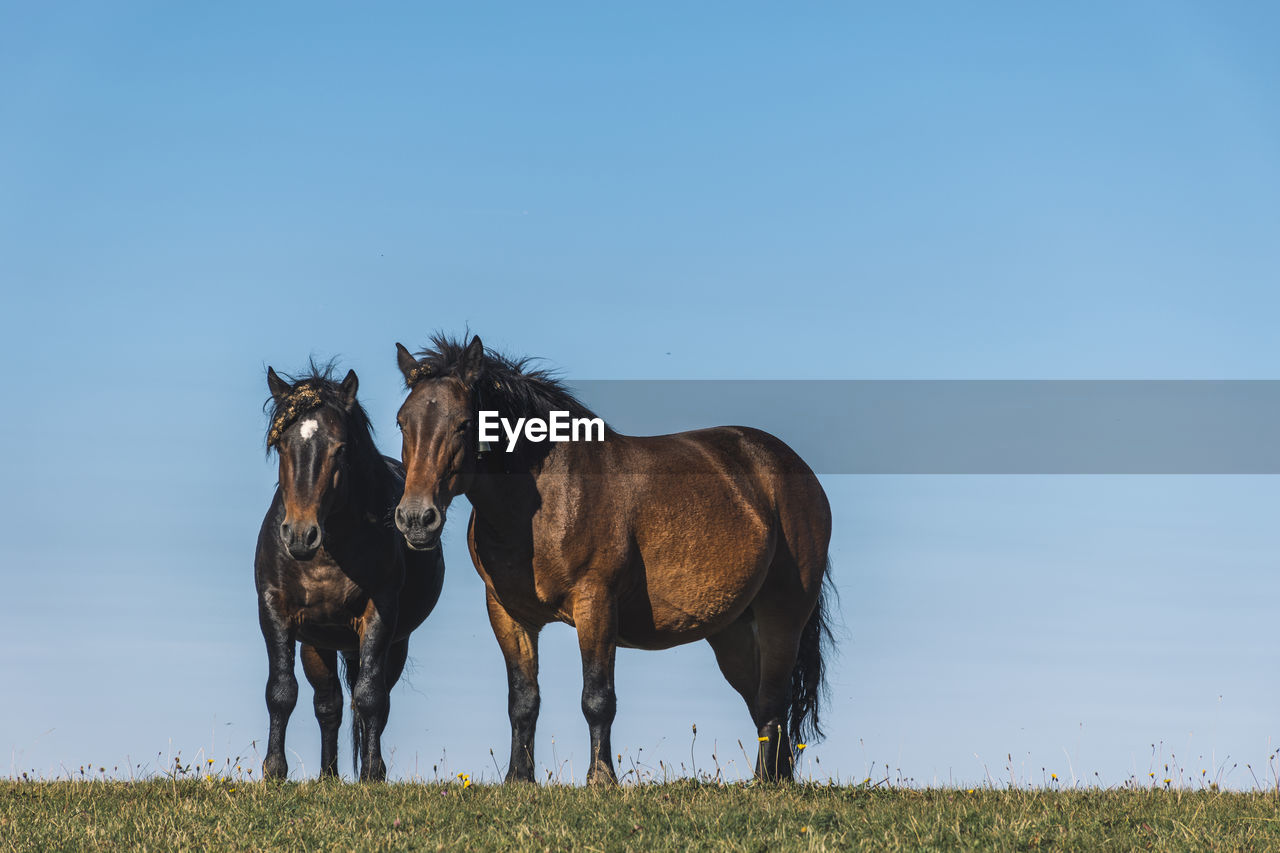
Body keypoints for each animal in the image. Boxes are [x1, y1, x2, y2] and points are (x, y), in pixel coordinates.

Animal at [254, 363, 445, 778]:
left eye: (340, 448)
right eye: (282, 445)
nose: (300, 534)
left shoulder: (379, 614)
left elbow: (371, 697)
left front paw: (373, 773)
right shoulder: (275, 610)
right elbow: (281, 691)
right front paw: (274, 770)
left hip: (393, 644)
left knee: (370, 700)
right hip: (318, 644)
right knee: (329, 705)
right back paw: (327, 775)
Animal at [389, 333, 829, 783]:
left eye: (464, 423)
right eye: (402, 422)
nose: (416, 519)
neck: (547, 500)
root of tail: (789, 466)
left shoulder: (595, 602)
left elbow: (597, 698)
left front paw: (600, 778)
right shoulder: (508, 613)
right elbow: (523, 700)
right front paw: (518, 778)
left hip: (781, 616)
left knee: (772, 703)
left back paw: (765, 782)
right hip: (732, 631)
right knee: (763, 703)